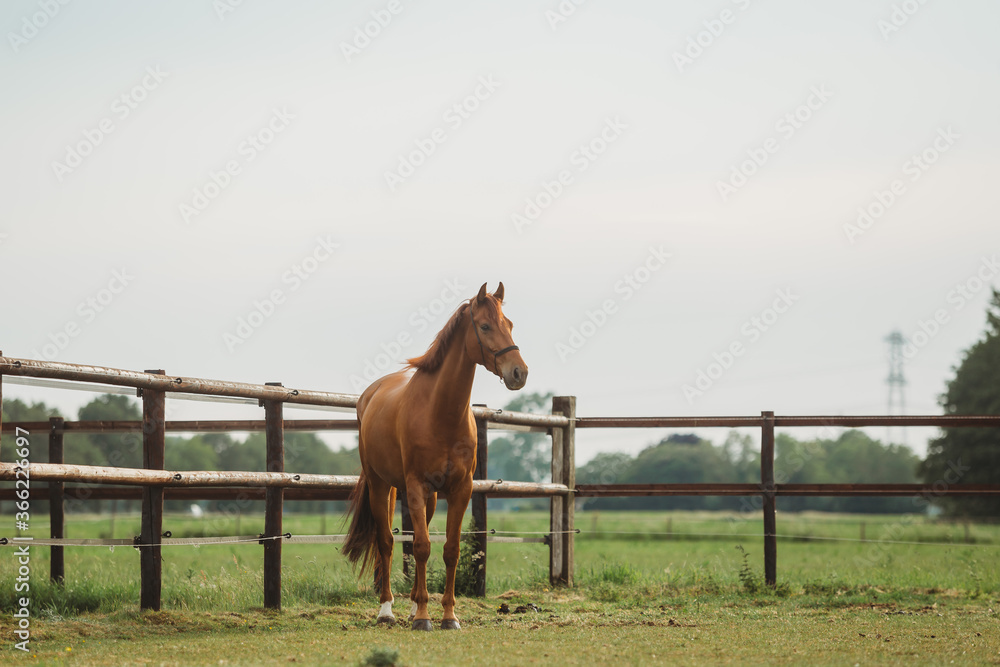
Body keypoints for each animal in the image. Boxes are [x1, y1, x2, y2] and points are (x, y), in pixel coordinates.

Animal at [343, 282, 528, 630]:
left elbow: (449, 550)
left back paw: (414, 605)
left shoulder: (460, 490)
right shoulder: (415, 486)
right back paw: (387, 610)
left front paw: (447, 616)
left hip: (426, 498)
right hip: (380, 486)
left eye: (509, 325)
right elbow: (421, 547)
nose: (519, 373)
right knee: (388, 542)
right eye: (485, 326)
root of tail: (370, 395)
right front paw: (423, 618)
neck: (440, 413)